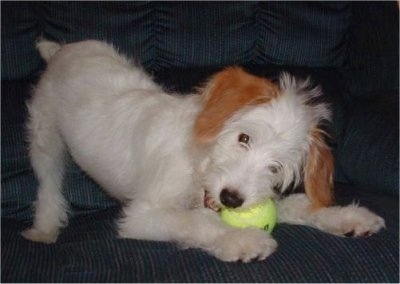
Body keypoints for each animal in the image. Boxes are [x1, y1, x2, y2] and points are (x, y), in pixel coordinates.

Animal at [21, 39, 384, 262]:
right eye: (243, 138)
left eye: (276, 167)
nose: (231, 199)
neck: (199, 165)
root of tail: (62, 50)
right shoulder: (143, 216)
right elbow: (196, 222)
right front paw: (243, 239)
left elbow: (295, 205)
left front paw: (345, 217)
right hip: (45, 139)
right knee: (48, 187)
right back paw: (44, 229)